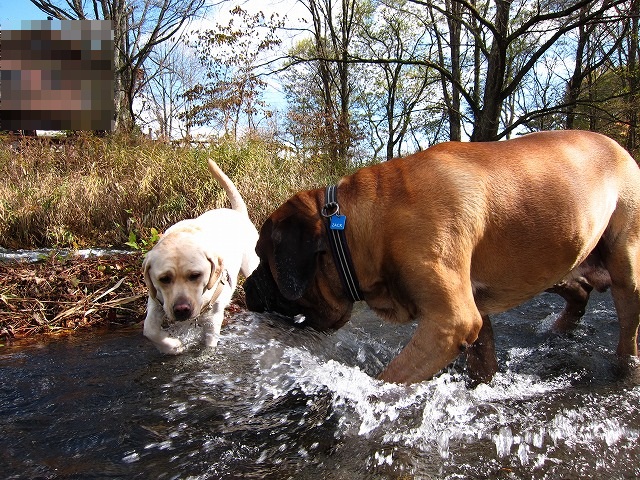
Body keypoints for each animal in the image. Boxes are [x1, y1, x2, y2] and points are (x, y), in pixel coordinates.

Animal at [142, 160, 258, 352]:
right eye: (164, 279)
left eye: (195, 275)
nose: (182, 309)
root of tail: (238, 213)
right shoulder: (156, 299)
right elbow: (149, 330)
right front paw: (173, 346)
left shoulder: (212, 319)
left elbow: (209, 345)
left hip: (252, 266)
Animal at [244, 129, 640, 384]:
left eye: (263, 259)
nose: (246, 289)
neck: (366, 222)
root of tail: (618, 146)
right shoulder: (475, 313)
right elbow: (483, 363)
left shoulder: (451, 322)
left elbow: (389, 380)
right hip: (546, 262)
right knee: (579, 290)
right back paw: (560, 329)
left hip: (625, 265)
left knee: (627, 328)